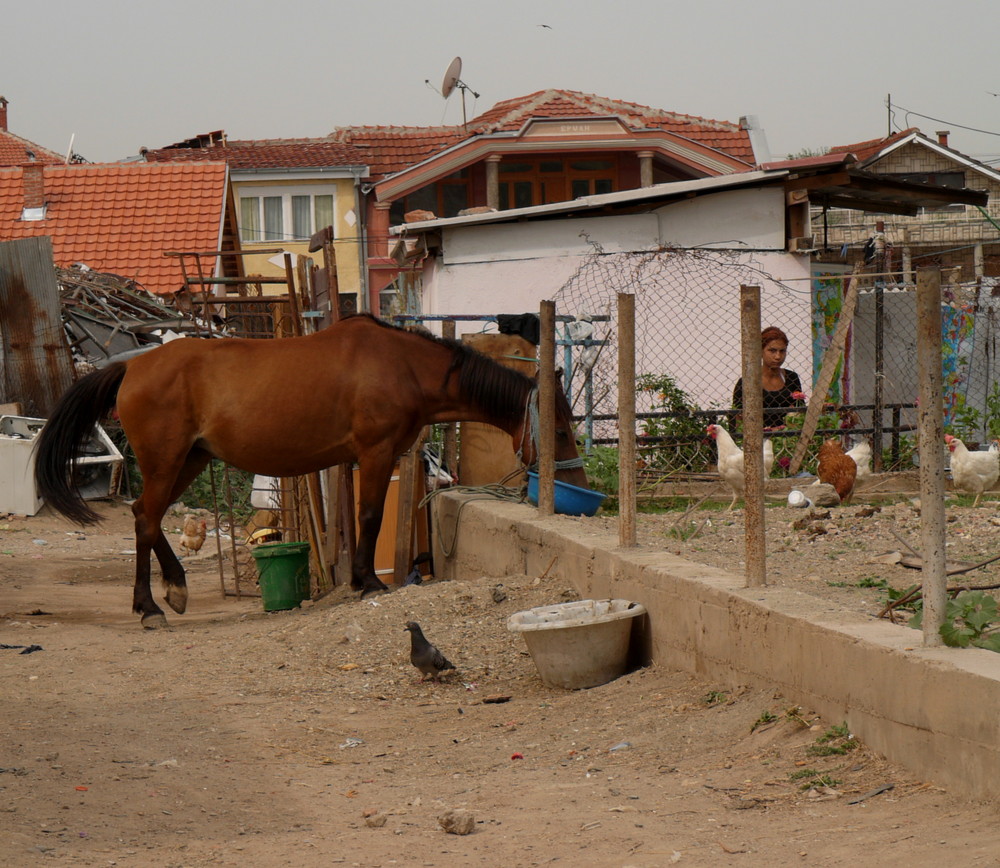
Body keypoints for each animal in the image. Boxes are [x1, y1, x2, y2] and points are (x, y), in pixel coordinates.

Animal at [35, 312, 588, 624]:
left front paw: (358, 578)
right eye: (560, 430)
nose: (577, 489)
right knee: (148, 519)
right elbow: (369, 517)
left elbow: (354, 519)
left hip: (189, 460)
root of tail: (132, 365)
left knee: (145, 518)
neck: (404, 365)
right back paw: (150, 606)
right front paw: (368, 582)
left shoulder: (354, 459)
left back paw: (173, 590)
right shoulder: (375, 452)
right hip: (166, 461)